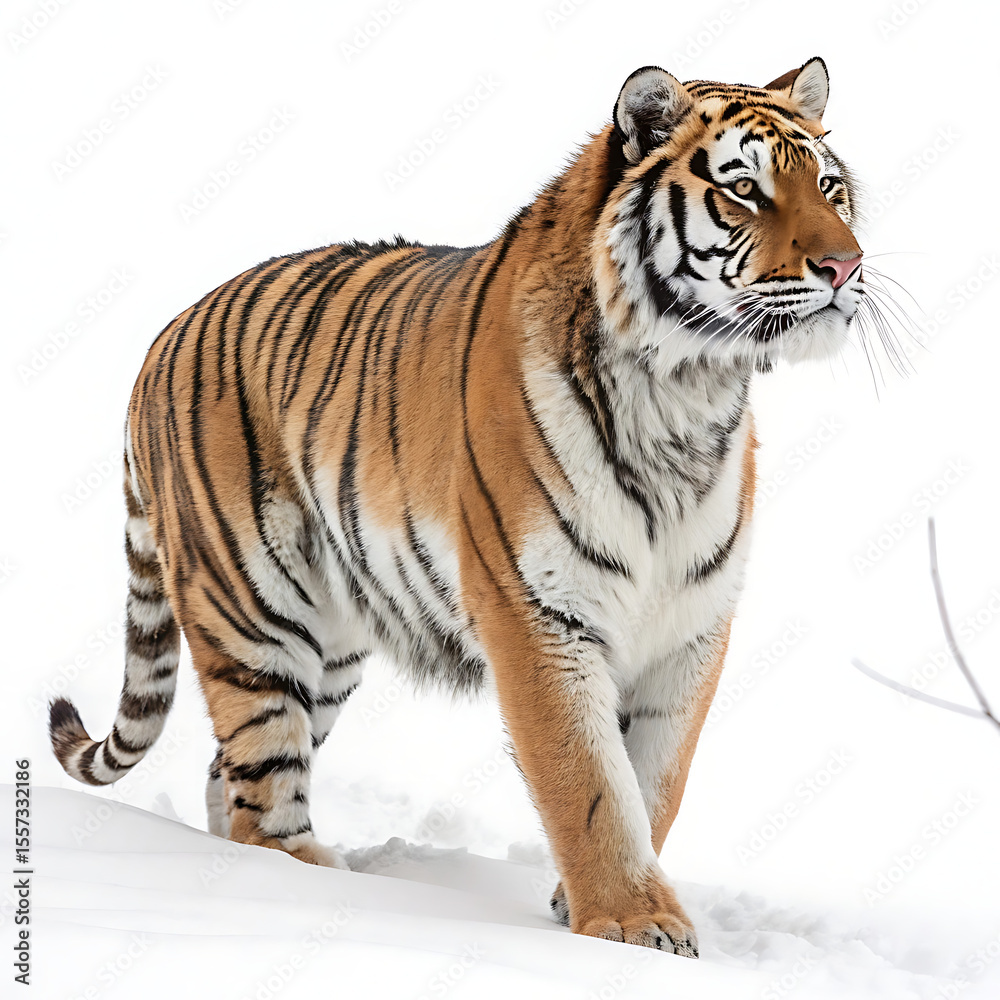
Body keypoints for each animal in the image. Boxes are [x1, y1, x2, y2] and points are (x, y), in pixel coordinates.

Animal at [49, 57, 864, 955]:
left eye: (829, 186)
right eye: (745, 190)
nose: (846, 267)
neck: (687, 392)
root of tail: (160, 339)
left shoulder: (691, 621)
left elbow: (656, 779)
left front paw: (609, 909)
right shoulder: (539, 611)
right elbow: (589, 782)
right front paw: (632, 922)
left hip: (334, 638)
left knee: (226, 774)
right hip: (255, 611)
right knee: (262, 785)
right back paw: (310, 885)